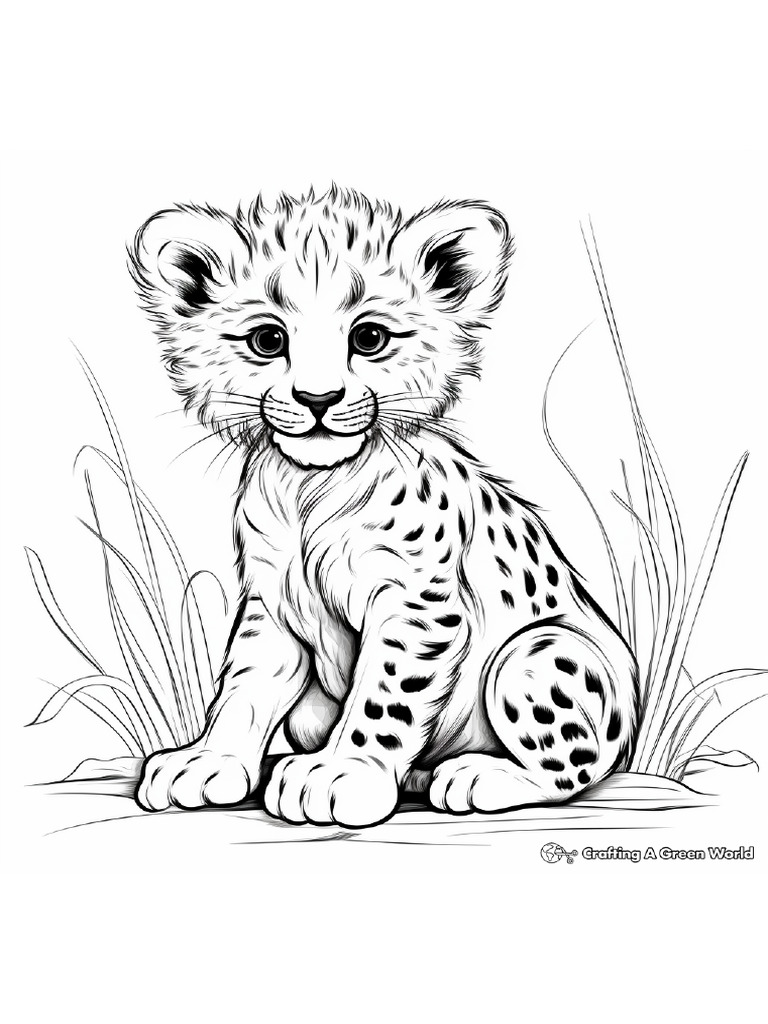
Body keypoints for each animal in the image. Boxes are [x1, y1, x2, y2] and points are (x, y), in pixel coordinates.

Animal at [129, 185, 639, 827]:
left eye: (368, 338)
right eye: (268, 341)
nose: (317, 399)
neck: (311, 489)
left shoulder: (418, 603)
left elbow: (386, 695)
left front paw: (343, 774)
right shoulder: (270, 602)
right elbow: (245, 685)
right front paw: (207, 762)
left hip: (535, 653)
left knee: (573, 767)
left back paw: (477, 776)